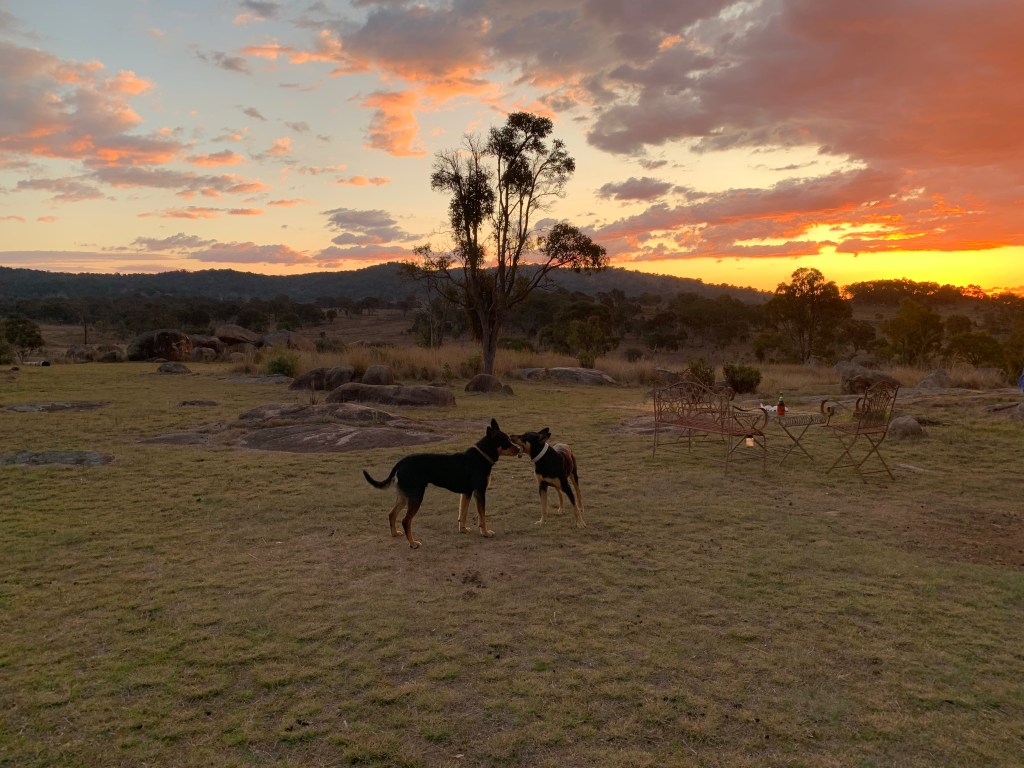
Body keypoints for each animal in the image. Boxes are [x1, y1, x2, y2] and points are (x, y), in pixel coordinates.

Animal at [362, 418, 520, 548]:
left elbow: (463, 513)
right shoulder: (479, 492)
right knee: (406, 521)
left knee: (392, 514)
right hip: (416, 496)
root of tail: (401, 463)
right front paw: (485, 533)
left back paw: (395, 534)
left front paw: (463, 530)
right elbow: (482, 516)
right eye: (505, 441)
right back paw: (413, 543)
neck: (480, 457)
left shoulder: (467, 493)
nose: (519, 449)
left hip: (404, 496)